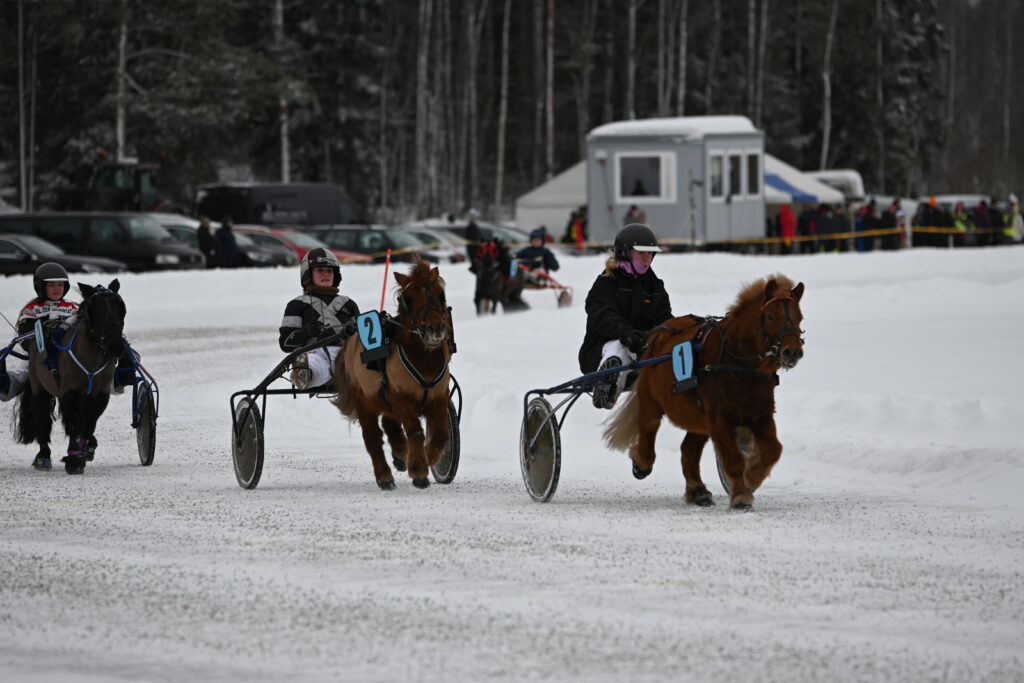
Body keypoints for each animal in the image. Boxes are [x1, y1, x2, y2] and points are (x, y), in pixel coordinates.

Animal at [331, 259, 452, 489]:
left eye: (441, 295)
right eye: (409, 298)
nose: (435, 328)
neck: (424, 360)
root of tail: (349, 337)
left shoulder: (439, 398)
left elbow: (441, 434)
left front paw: (428, 458)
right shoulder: (403, 398)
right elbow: (415, 432)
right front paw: (419, 470)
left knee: (390, 425)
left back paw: (400, 454)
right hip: (363, 399)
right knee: (373, 437)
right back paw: (384, 476)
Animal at [598, 276, 806, 507]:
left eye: (799, 317)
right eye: (770, 316)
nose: (792, 352)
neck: (737, 364)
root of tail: (655, 334)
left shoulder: (760, 414)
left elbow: (773, 450)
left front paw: (750, 477)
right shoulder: (719, 417)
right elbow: (733, 459)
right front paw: (741, 494)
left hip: (698, 418)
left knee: (688, 450)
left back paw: (698, 491)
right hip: (651, 398)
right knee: (649, 426)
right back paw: (641, 463)